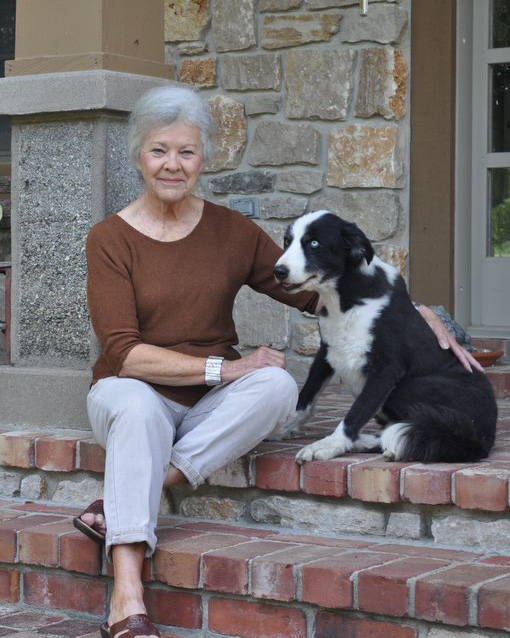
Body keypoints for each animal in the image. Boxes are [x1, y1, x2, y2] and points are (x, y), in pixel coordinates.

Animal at [272, 212, 496, 468]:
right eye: (287, 241)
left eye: (314, 243)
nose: (278, 271)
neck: (348, 299)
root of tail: (480, 436)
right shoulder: (326, 352)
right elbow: (306, 395)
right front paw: (283, 427)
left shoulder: (386, 368)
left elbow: (356, 413)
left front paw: (329, 445)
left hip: (410, 387)